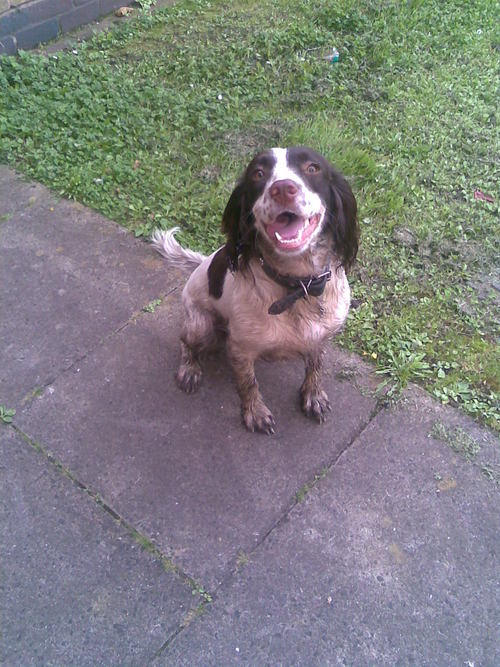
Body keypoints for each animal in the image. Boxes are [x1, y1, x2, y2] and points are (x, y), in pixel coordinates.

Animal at [150, 146, 358, 434]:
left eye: (312, 168)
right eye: (258, 174)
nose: (283, 189)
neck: (298, 286)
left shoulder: (320, 336)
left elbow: (315, 367)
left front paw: (313, 396)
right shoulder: (241, 348)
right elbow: (248, 383)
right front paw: (255, 412)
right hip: (200, 325)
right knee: (186, 343)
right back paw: (189, 369)